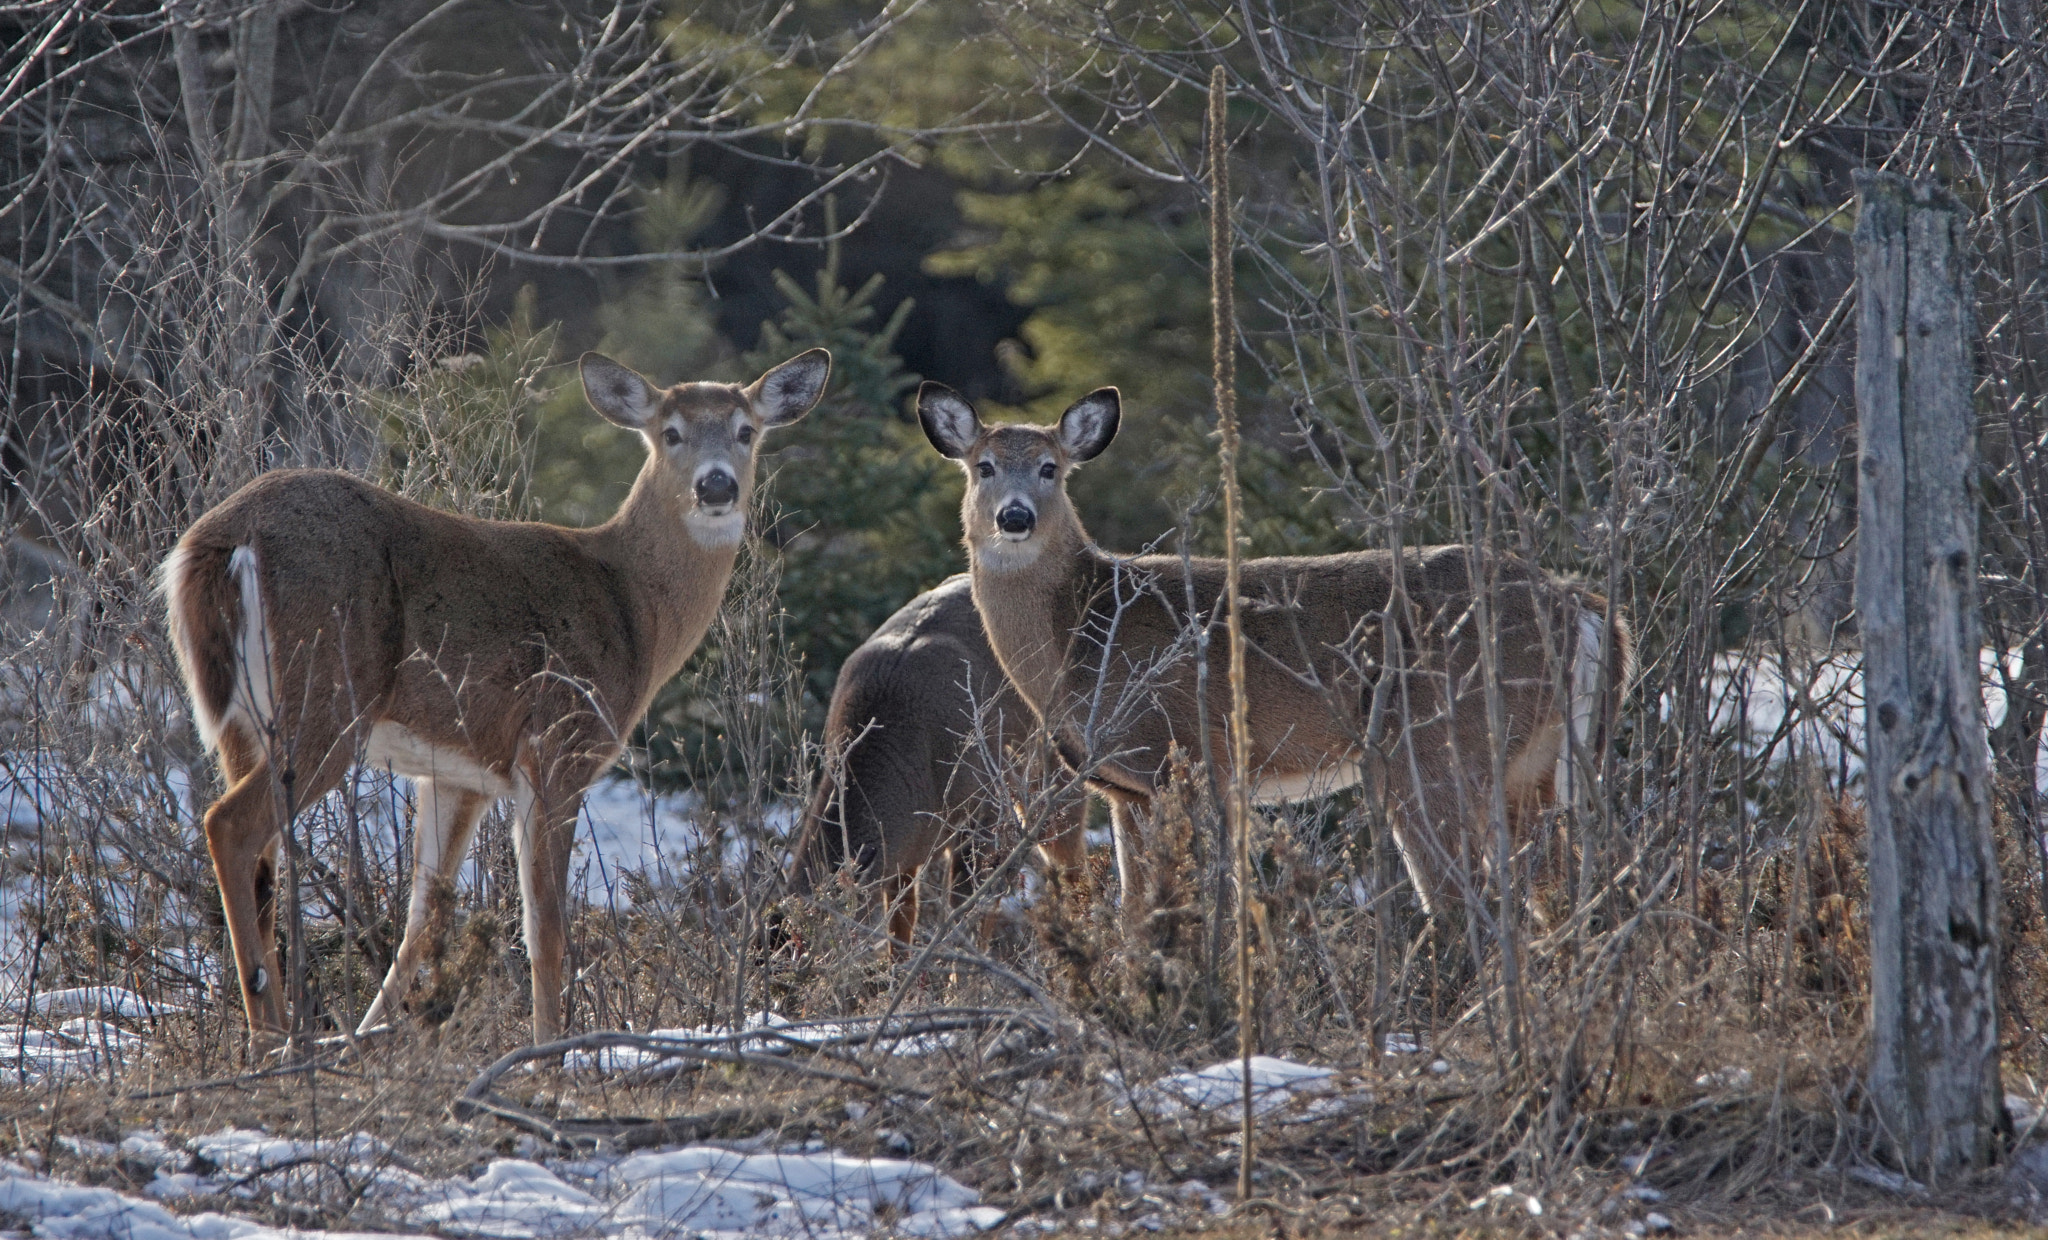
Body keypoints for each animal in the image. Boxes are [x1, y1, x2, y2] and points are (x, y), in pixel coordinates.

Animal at [161, 350, 831, 1057]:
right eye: (670, 432)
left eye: (746, 430)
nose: (717, 486)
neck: (632, 609)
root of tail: (215, 543)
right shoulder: (559, 746)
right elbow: (546, 927)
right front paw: (548, 1050)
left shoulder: (458, 773)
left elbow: (423, 922)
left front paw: (369, 1040)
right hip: (326, 697)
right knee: (229, 825)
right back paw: (269, 1035)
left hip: (237, 721)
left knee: (258, 860)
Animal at [913, 385, 1630, 926]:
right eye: (982, 466)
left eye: (1050, 468)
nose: (1014, 518)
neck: (1082, 634)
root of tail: (1582, 606)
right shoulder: (1126, 789)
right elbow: (1137, 911)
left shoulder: (1188, 753)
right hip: (1540, 761)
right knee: (1558, 893)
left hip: (1437, 744)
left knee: (1464, 899)